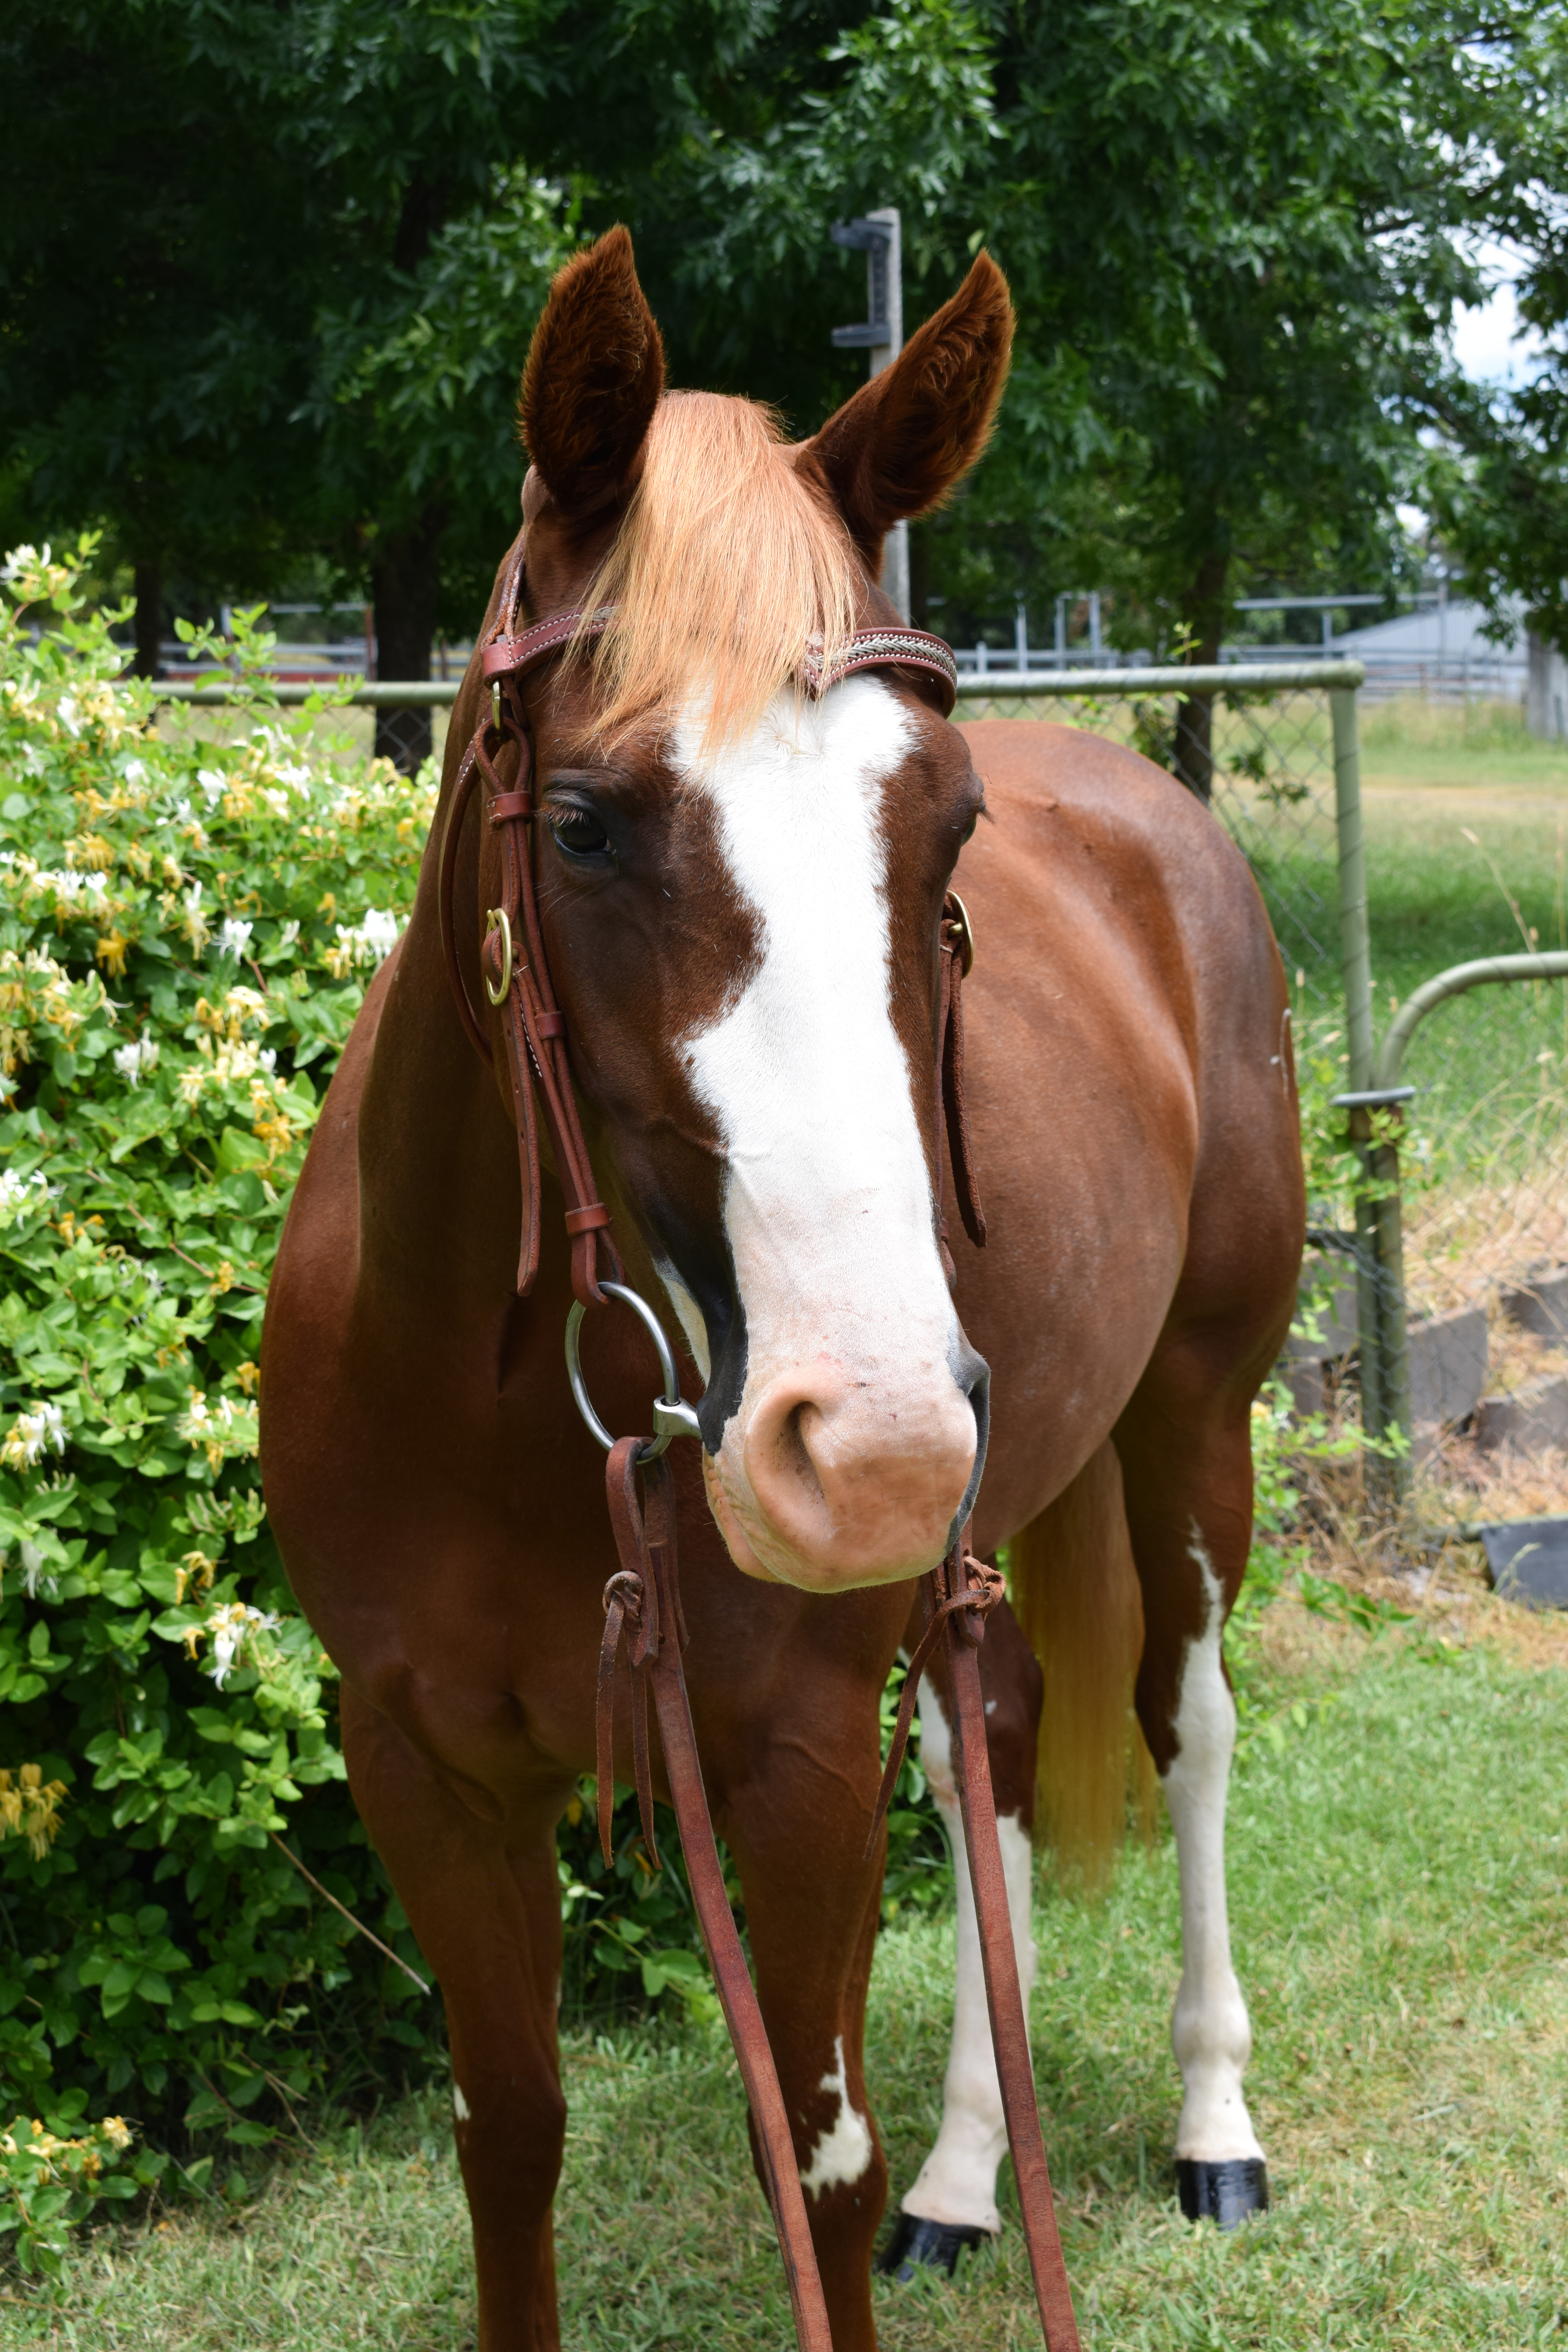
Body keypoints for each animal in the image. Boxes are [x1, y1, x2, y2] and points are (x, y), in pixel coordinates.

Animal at [261, 225, 1304, 2349]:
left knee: (1184, 1724)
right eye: (581, 824)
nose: (878, 1444)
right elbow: (509, 2136)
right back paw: (977, 2180)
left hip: (1187, 1433)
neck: (493, 1413)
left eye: (948, 828)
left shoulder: (797, 1753)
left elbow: (814, 2168)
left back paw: (1211, 2123)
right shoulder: (417, 1762)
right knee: (996, 1753)